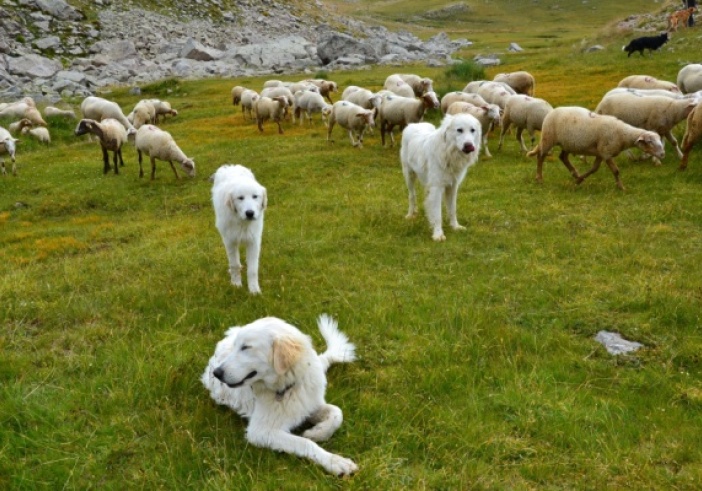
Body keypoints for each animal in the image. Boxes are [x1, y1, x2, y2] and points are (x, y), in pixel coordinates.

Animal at [202, 316, 358, 476]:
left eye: (245, 347)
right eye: (236, 347)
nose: (217, 373)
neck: (287, 386)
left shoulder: (307, 406)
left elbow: (337, 413)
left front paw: (317, 433)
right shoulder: (260, 431)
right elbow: (305, 443)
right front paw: (335, 461)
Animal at [210, 165, 268, 296]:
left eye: (255, 196)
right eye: (240, 198)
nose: (250, 213)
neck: (242, 221)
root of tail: (231, 166)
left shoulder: (254, 241)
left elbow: (253, 269)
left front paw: (254, 290)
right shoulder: (230, 241)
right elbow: (234, 264)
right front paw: (236, 285)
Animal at [402, 112, 484, 242]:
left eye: (472, 130)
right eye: (459, 130)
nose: (469, 146)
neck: (449, 153)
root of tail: (414, 125)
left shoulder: (453, 186)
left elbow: (452, 209)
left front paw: (455, 227)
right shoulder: (436, 187)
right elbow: (437, 213)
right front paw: (438, 234)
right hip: (409, 175)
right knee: (412, 196)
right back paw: (410, 215)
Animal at [528, 106, 664, 190]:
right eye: (650, 142)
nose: (663, 154)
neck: (622, 134)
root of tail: (551, 112)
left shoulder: (601, 153)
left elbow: (594, 169)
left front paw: (579, 181)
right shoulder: (606, 152)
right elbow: (616, 171)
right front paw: (621, 187)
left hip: (567, 143)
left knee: (563, 157)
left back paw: (575, 174)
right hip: (548, 138)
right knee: (540, 156)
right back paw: (539, 178)